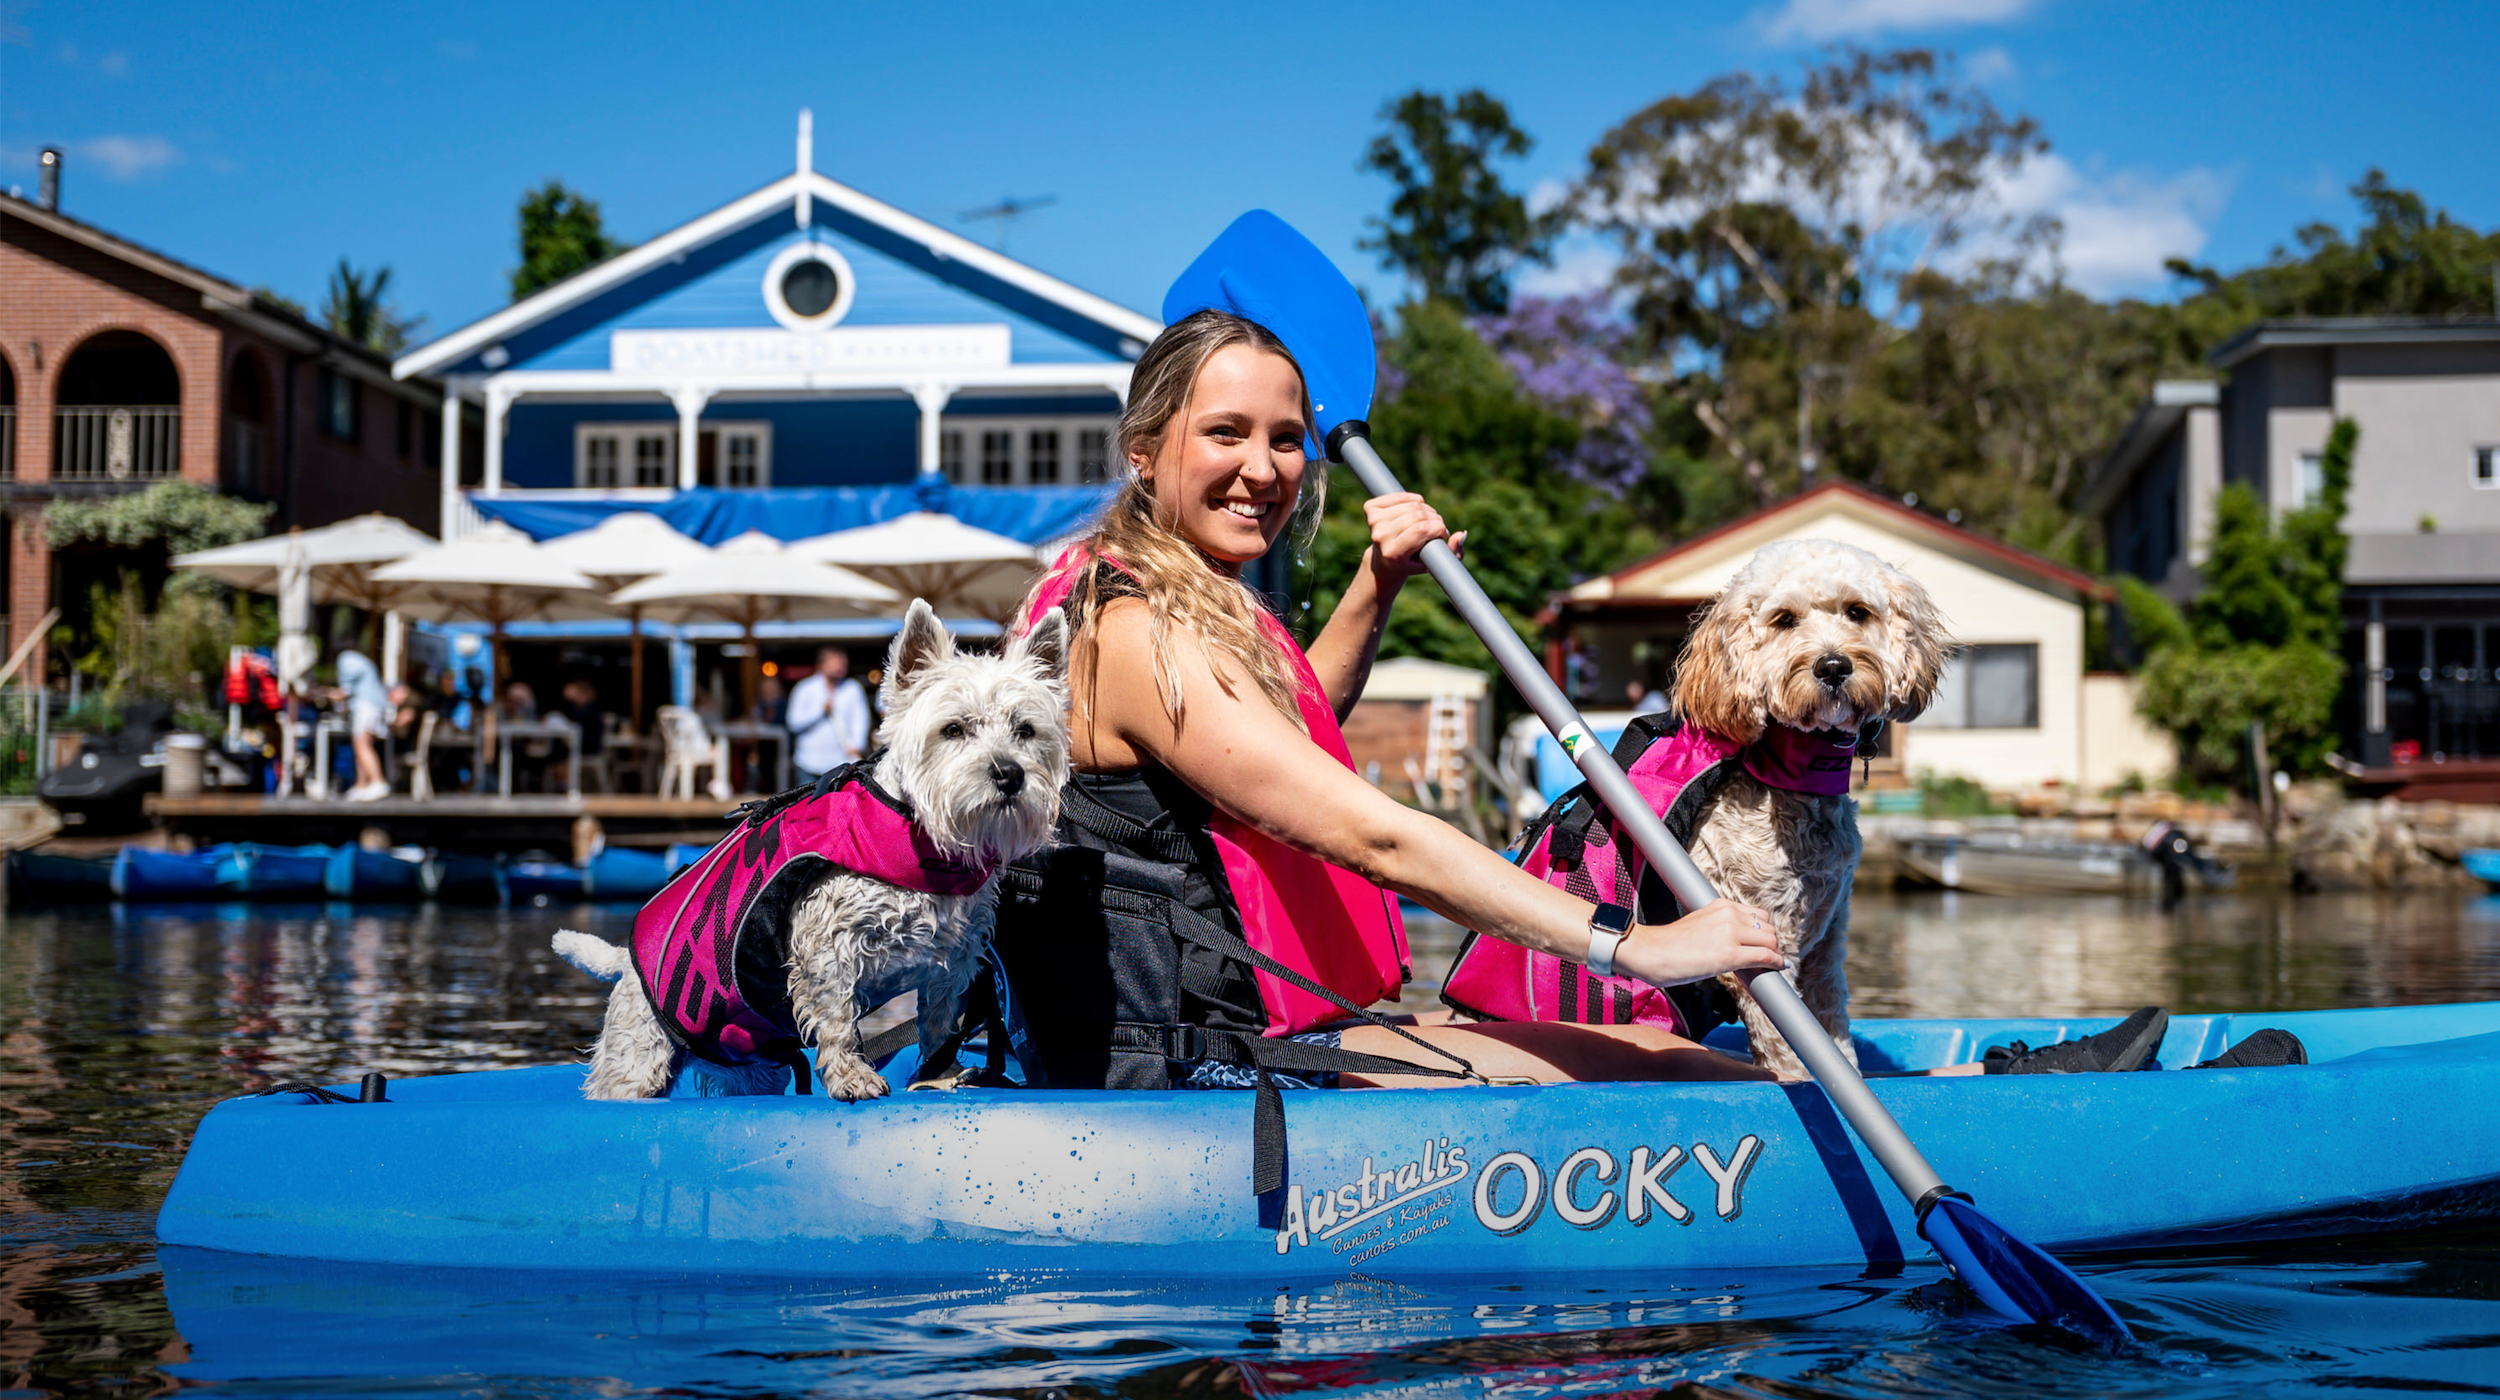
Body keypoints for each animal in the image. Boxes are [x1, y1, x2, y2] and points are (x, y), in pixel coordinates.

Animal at [552, 602, 1070, 1105]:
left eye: (1025, 730)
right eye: (954, 729)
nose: (1008, 774)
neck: (921, 839)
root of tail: (622, 962)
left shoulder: (954, 957)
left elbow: (941, 1024)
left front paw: (939, 1075)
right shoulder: (827, 946)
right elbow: (838, 1017)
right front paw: (852, 1075)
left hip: (752, 1069)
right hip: (639, 1055)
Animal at [1680, 537, 1950, 1085]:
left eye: (1857, 611)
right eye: (1784, 619)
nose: (1832, 666)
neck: (1790, 781)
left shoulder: (1828, 940)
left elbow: (1835, 1032)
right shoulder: (1762, 942)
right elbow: (1790, 1052)